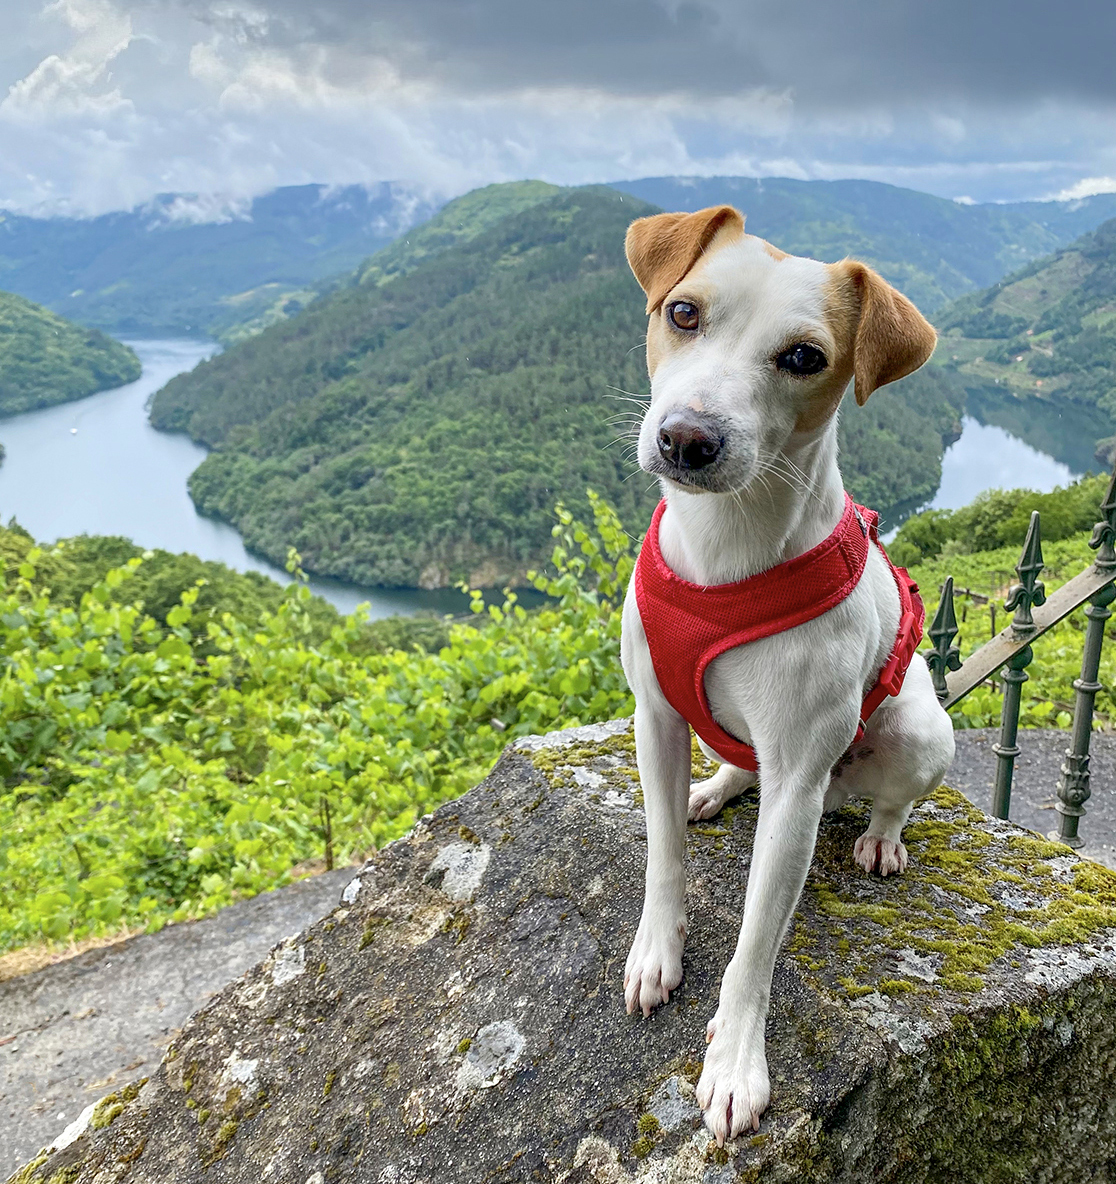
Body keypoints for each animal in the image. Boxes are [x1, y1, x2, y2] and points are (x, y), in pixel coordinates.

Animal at [620, 206, 951, 1146]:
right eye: (683, 312)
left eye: (804, 357)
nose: (686, 438)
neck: (724, 551)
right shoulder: (653, 716)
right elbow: (662, 855)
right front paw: (656, 952)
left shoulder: (800, 783)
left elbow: (756, 943)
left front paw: (734, 1063)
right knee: (738, 764)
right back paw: (717, 786)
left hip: (920, 732)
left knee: (893, 794)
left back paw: (881, 836)